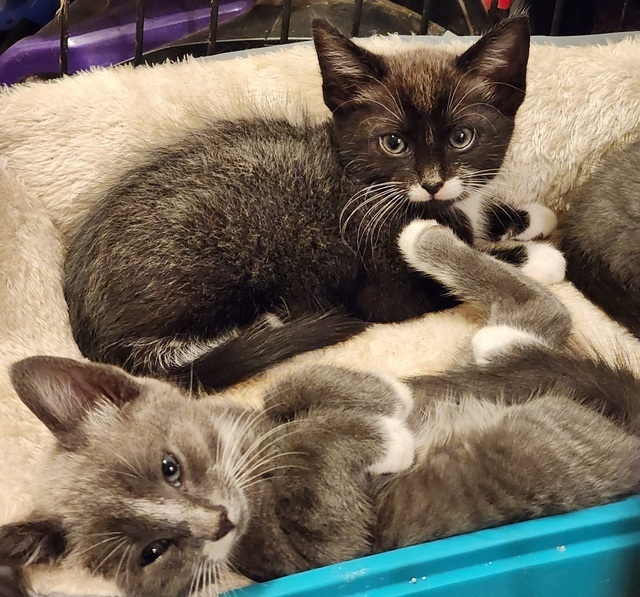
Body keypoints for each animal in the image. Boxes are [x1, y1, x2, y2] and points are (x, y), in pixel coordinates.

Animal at [2, 220, 636, 596]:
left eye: (169, 467)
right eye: (152, 553)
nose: (219, 521)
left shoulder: (254, 412)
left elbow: (288, 389)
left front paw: (378, 396)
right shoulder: (322, 548)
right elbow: (323, 462)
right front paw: (386, 436)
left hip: (492, 357)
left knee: (535, 320)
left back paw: (430, 241)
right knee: (548, 318)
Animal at [63, 17, 556, 392]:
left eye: (462, 137)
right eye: (393, 143)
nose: (433, 183)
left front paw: (528, 215)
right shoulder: (381, 284)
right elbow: (448, 277)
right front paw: (536, 257)